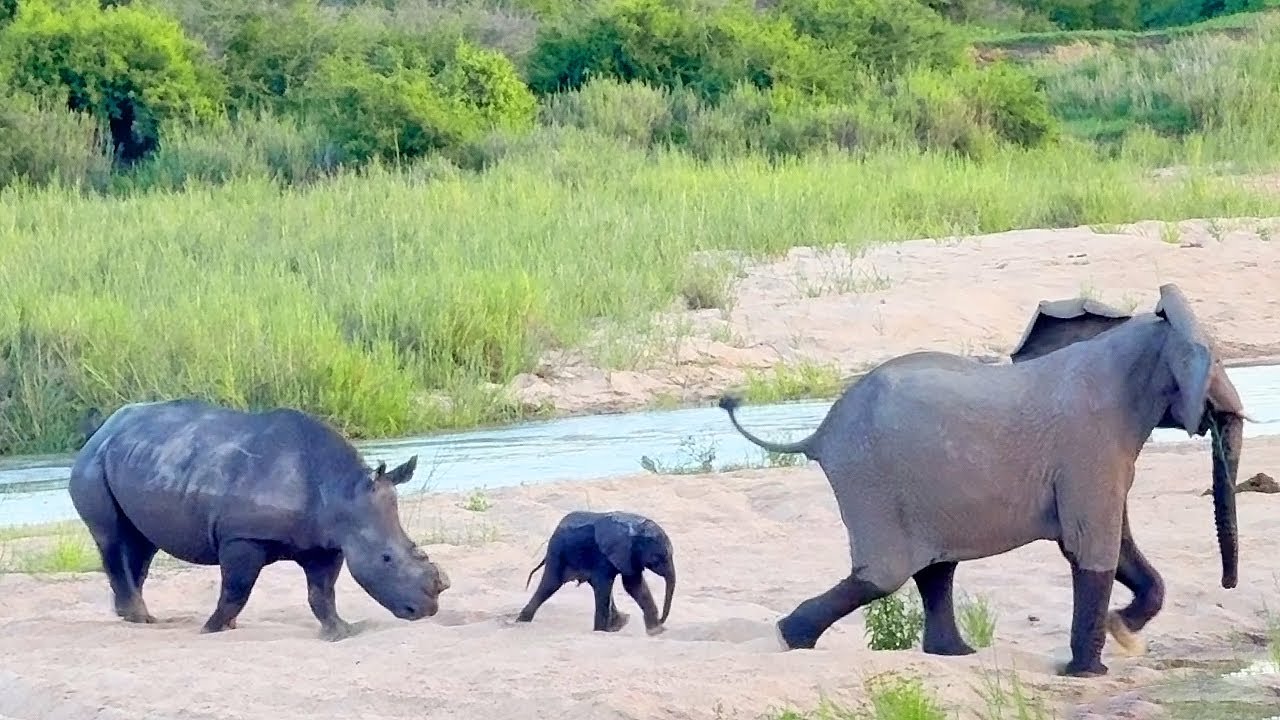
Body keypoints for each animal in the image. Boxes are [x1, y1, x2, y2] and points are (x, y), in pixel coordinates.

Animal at [68, 398, 451, 640]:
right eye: (386, 559)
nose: (427, 610)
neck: (341, 493)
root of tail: (102, 429)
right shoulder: (243, 536)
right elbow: (237, 589)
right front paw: (212, 630)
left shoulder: (326, 544)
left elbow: (322, 593)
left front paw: (339, 632)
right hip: (94, 463)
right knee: (111, 537)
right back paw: (139, 617)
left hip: (144, 457)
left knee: (141, 542)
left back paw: (135, 618)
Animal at [516, 510, 676, 636]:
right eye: (658, 558)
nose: (662, 620)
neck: (634, 528)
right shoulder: (604, 554)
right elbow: (606, 584)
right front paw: (600, 632)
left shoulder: (629, 556)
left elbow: (634, 585)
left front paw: (656, 632)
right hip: (557, 551)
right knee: (551, 584)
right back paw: (520, 622)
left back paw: (619, 624)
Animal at [716, 283, 1245, 678]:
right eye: (1217, 361)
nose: (1227, 586)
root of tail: (820, 433)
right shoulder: (1088, 447)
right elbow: (1092, 549)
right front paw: (1092, 671)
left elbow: (1116, 544)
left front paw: (1122, 633)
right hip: (871, 480)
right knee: (885, 575)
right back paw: (790, 639)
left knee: (934, 571)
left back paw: (954, 655)